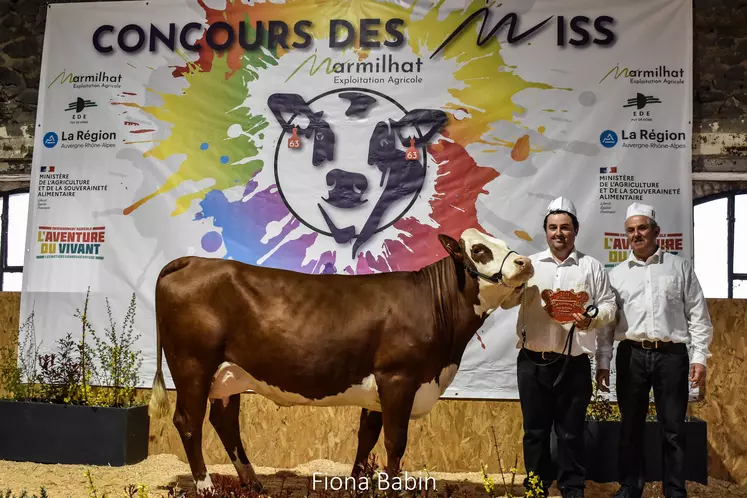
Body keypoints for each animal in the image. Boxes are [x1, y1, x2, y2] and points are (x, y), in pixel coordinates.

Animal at [149, 228, 532, 492]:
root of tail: (193, 261)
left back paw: (253, 483)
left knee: (225, 422)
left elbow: (367, 438)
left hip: (229, 374)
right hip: (192, 365)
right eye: (479, 249)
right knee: (188, 422)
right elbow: (395, 441)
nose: (524, 262)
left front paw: (357, 486)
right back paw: (206, 486)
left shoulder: (378, 387)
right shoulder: (398, 378)